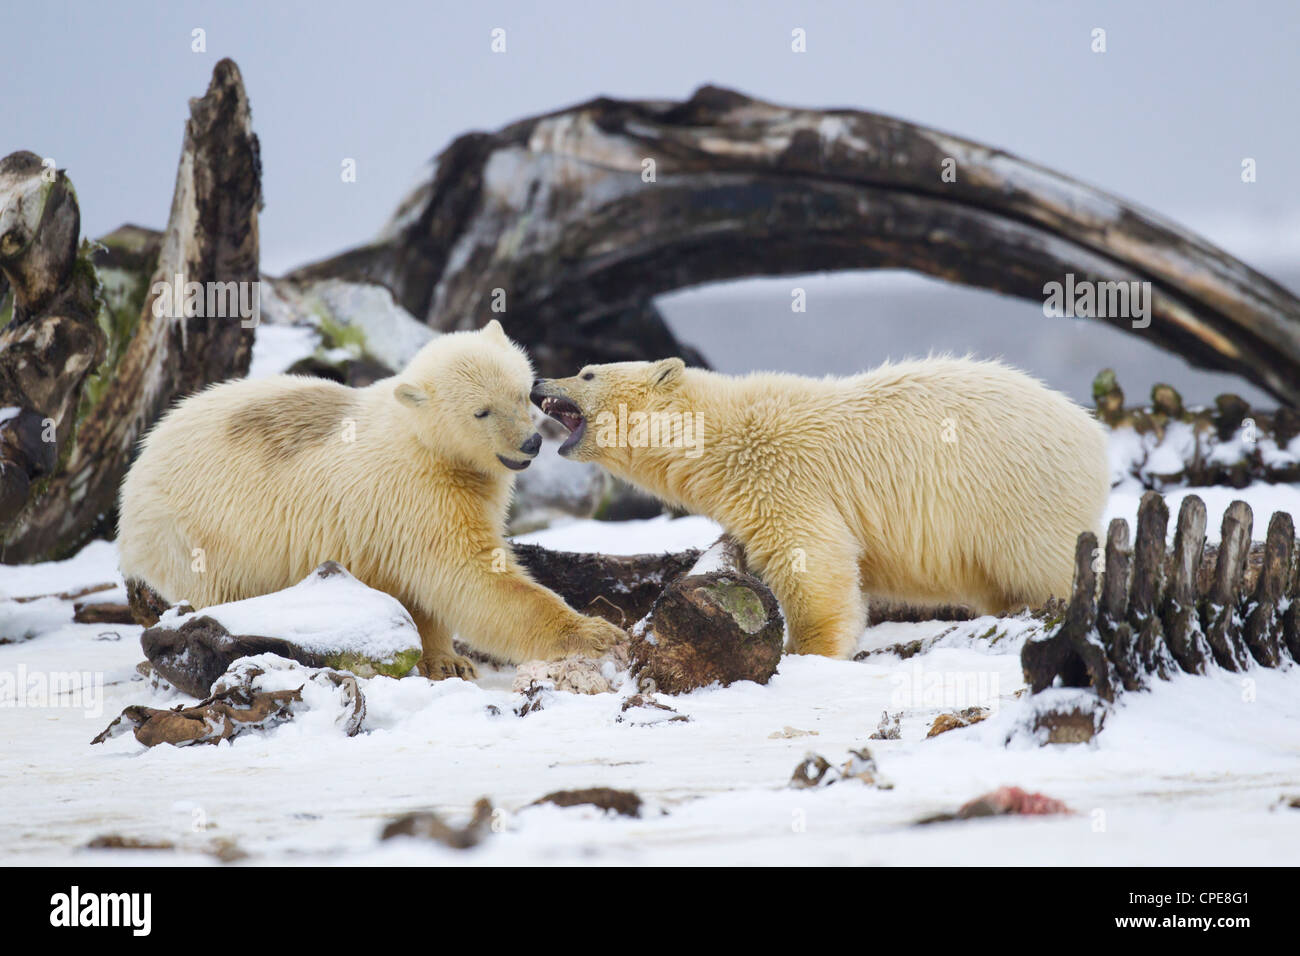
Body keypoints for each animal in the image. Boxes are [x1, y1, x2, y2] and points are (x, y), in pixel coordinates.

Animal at [119, 321, 626, 681]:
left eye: (522, 392)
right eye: (481, 411)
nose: (530, 444)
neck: (422, 438)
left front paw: (446, 660)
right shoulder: (418, 492)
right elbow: (468, 573)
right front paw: (596, 633)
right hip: (199, 530)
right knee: (220, 589)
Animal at [533, 356, 1112, 660]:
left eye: (586, 373)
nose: (539, 381)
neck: (719, 433)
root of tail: (1094, 436)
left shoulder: (779, 473)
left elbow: (814, 561)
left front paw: (808, 651)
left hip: (1020, 493)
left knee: (1046, 563)